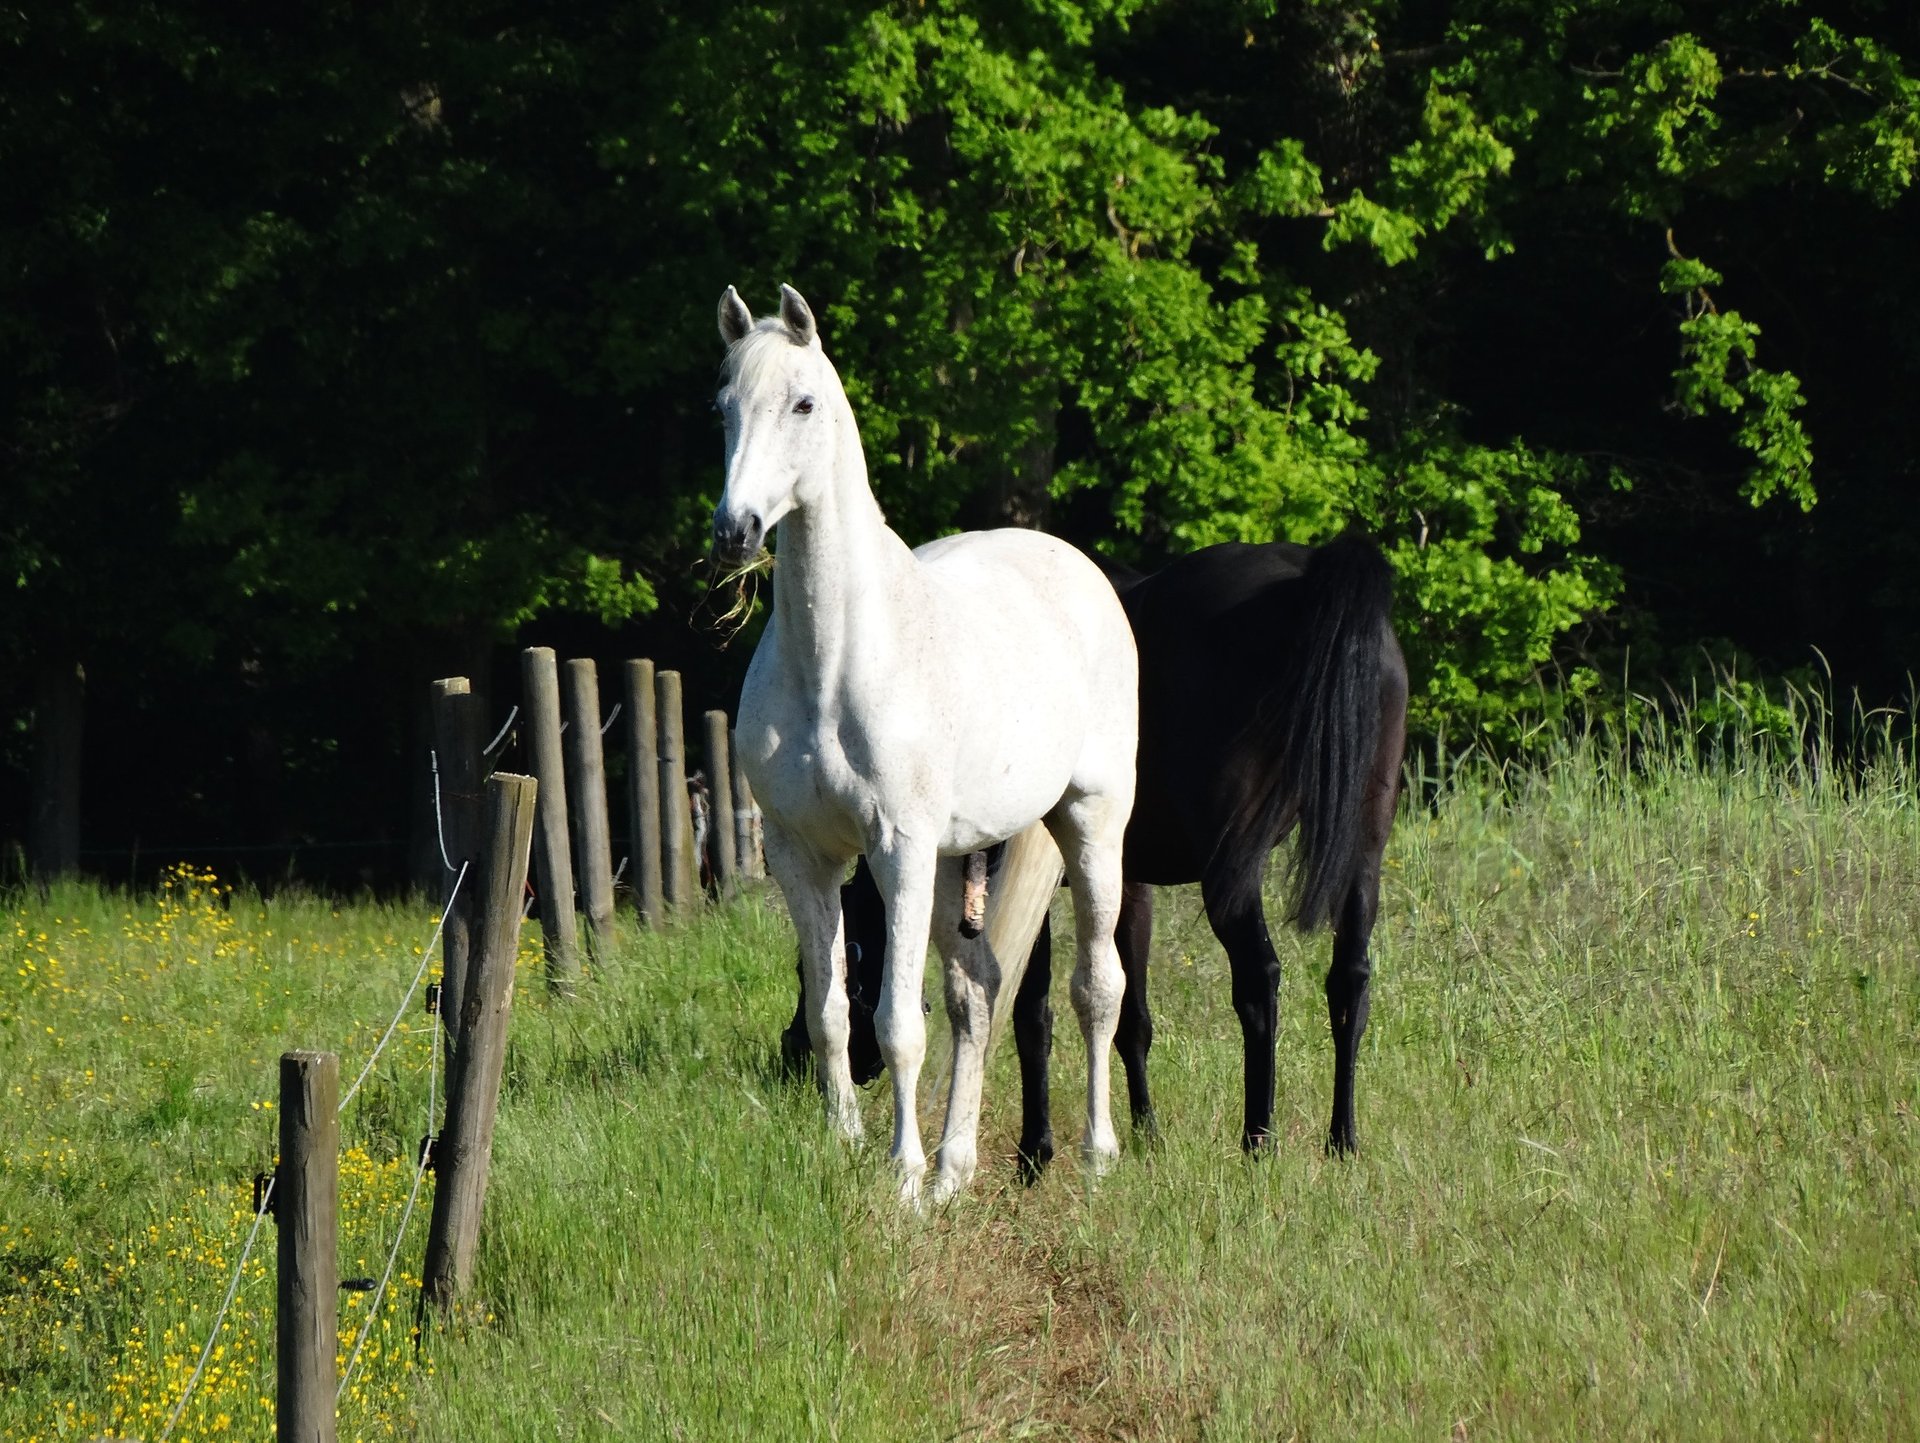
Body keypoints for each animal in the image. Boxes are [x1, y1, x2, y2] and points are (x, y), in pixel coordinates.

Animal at [711, 283, 1138, 1204]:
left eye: (803, 403)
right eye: (723, 405)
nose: (736, 531)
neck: (835, 661)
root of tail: (1076, 568)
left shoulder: (895, 849)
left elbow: (897, 1022)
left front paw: (900, 1177)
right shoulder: (804, 856)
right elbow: (832, 1011)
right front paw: (847, 1145)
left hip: (1090, 823)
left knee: (1098, 987)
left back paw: (1094, 1154)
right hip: (951, 859)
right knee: (978, 991)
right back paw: (954, 1169)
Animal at [788, 536, 1408, 1175]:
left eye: (825, 964)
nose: (794, 1059)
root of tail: (1309, 578)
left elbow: (1031, 1011)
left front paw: (1035, 1153)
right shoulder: (1127, 884)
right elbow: (1129, 1013)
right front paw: (1143, 1133)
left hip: (1232, 875)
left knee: (1260, 981)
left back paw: (1258, 1139)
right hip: (1363, 855)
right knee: (1350, 983)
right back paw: (1342, 1139)